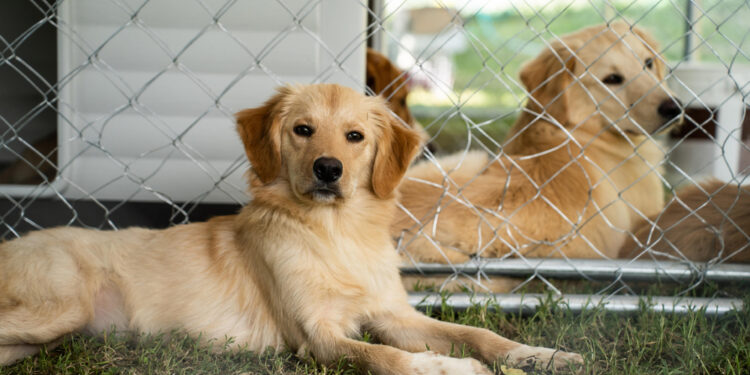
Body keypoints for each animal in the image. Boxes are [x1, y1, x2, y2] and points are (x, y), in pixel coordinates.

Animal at [0, 83, 580, 374]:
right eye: (302, 129)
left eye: (354, 136)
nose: (328, 169)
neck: (334, 235)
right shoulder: (315, 337)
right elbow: (389, 358)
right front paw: (445, 368)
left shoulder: (392, 314)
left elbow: (477, 334)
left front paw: (539, 355)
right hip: (61, 307)